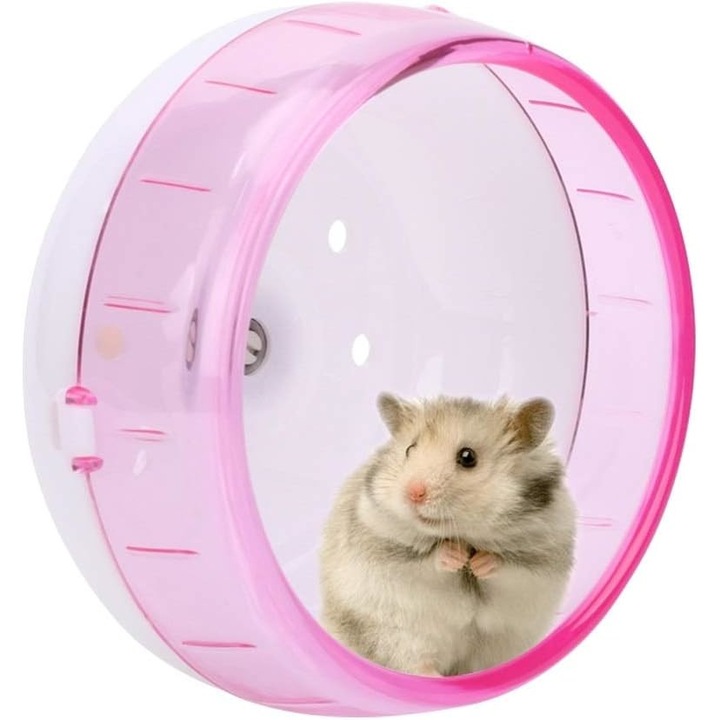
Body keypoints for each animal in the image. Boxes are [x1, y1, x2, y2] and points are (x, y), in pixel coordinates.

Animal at [319, 393, 576, 676]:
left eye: (467, 457)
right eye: (410, 449)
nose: (413, 493)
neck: (465, 534)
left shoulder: (540, 559)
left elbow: (507, 566)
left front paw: (478, 563)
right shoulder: (386, 547)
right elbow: (427, 560)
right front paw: (456, 556)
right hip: (398, 635)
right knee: (415, 663)